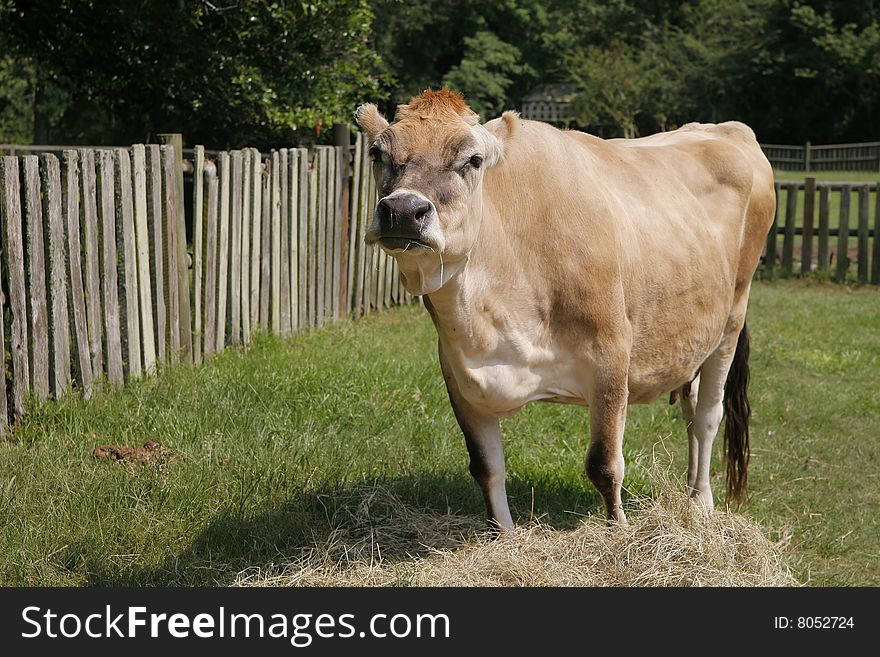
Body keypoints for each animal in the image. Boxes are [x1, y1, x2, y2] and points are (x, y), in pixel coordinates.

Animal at [354, 88, 772, 528]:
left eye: (474, 159)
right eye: (377, 153)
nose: (403, 210)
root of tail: (725, 128)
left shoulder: (611, 355)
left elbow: (604, 466)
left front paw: (620, 533)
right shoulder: (458, 373)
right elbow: (486, 468)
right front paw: (505, 537)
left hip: (731, 318)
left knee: (708, 416)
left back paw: (701, 501)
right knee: (692, 410)